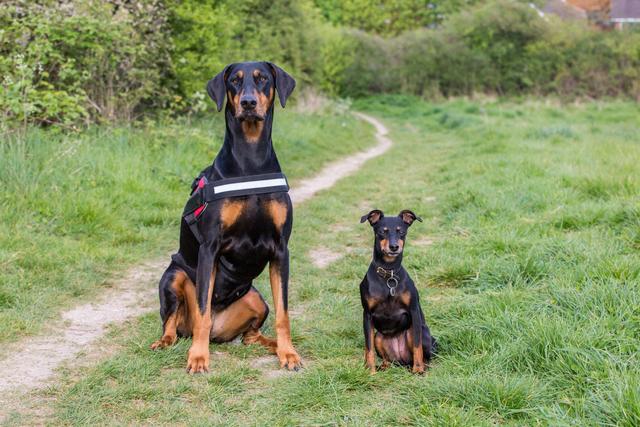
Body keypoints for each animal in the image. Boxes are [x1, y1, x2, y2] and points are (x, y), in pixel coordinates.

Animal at [360, 211, 436, 374]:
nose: (394, 247)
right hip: (379, 337)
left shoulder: (414, 311)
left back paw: (421, 366)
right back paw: (383, 366)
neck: (389, 274)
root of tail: (403, 361)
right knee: (387, 359)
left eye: (401, 232)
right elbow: (368, 347)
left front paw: (418, 370)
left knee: (425, 354)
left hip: (420, 332)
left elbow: (417, 346)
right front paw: (370, 370)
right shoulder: (367, 314)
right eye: (382, 231)